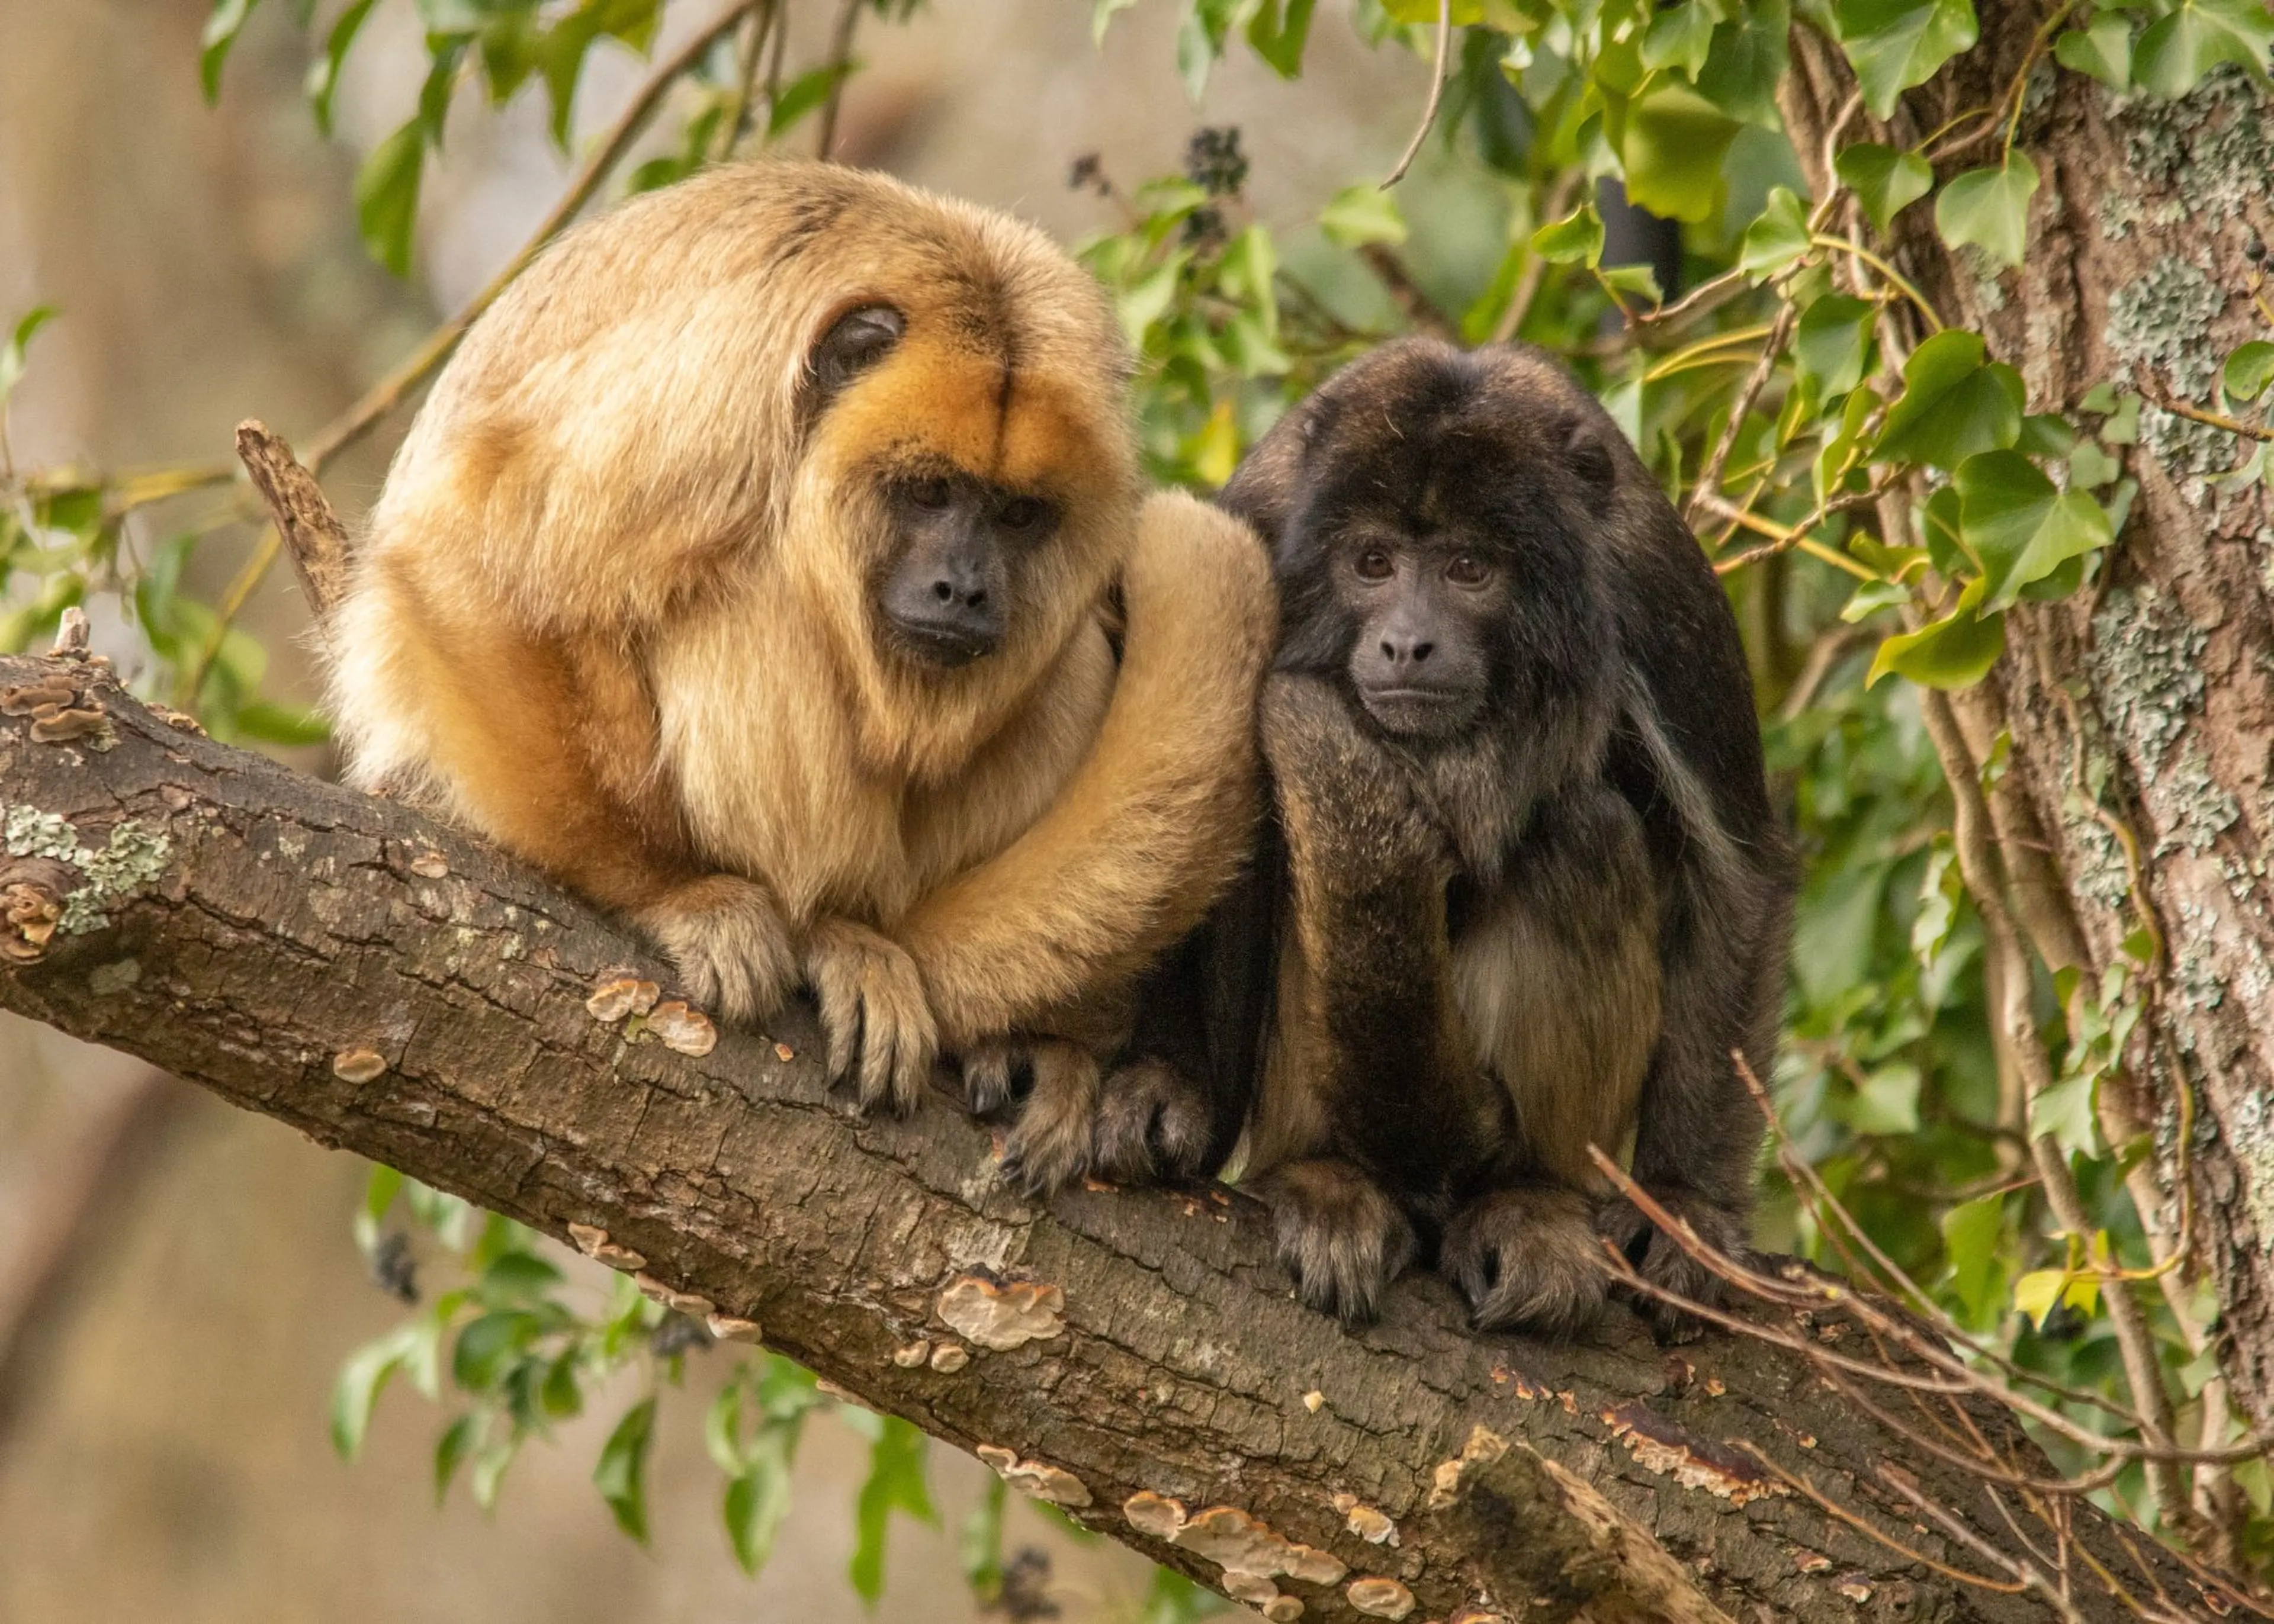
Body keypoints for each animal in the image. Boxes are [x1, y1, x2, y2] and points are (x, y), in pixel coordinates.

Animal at [323, 162, 1275, 1189]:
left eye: (1019, 514)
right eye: (928, 490)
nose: (965, 587)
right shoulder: (710, 392)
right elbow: (469, 554)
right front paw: (676, 893)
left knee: (1065, 667)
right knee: (755, 592)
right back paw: (824, 929)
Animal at [1090, 337, 1794, 1337]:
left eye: (1469, 568)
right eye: (1372, 562)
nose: (1407, 644)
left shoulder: (1653, 587)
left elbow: (1735, 869)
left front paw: (1688, 1205)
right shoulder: (1253, 531)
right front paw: (1167, 1082)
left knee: (1581, 838)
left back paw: (1525, 1200)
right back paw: (1333, 1178)